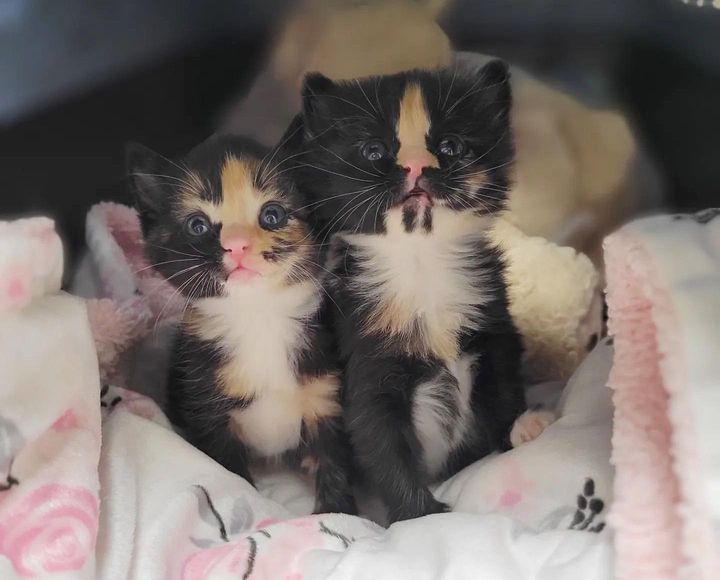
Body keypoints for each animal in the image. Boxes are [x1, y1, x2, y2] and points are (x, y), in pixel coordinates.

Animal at [129, 137, 358, 516]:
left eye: (272, 215)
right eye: (197, 225)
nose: (236, 245)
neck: (258, 316)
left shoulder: (326, 393)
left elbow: (334, 460)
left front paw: (338, 513)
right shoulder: (206, 407)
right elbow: (230, 471)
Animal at [286, 61, 552, 524]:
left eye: (450, 145)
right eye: (374, 151)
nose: (415, 166)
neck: (420, 262)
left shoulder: (494, 331)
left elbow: (503, 387)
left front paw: (519, 427)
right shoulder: (366, 360)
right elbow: (381, 443)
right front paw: (422, 517)